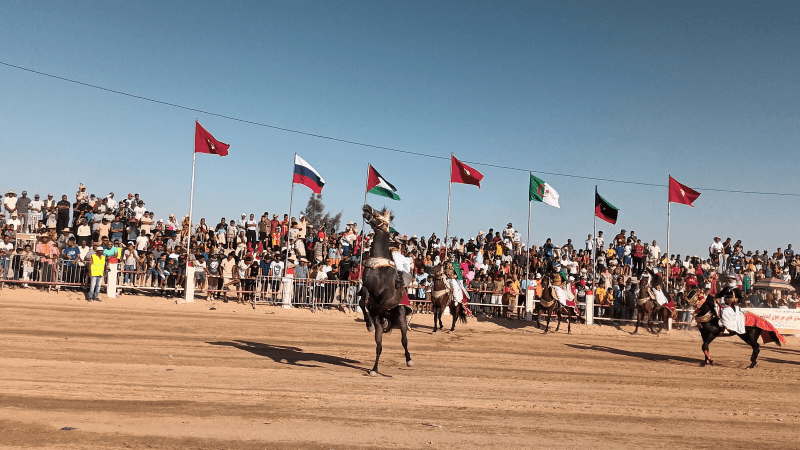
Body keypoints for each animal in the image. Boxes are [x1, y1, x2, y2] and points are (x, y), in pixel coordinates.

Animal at [360, 205, 416, 376]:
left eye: (381, 213)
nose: (366, 207)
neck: (379, 268)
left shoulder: (388, 295)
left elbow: (379, 304)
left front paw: (373, 320)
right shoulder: (366, 288)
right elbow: (362, 301)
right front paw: (369, 323)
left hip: (402, 315)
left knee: (404, 340)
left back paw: (409, 360)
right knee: (379, 346)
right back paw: (374, 369)